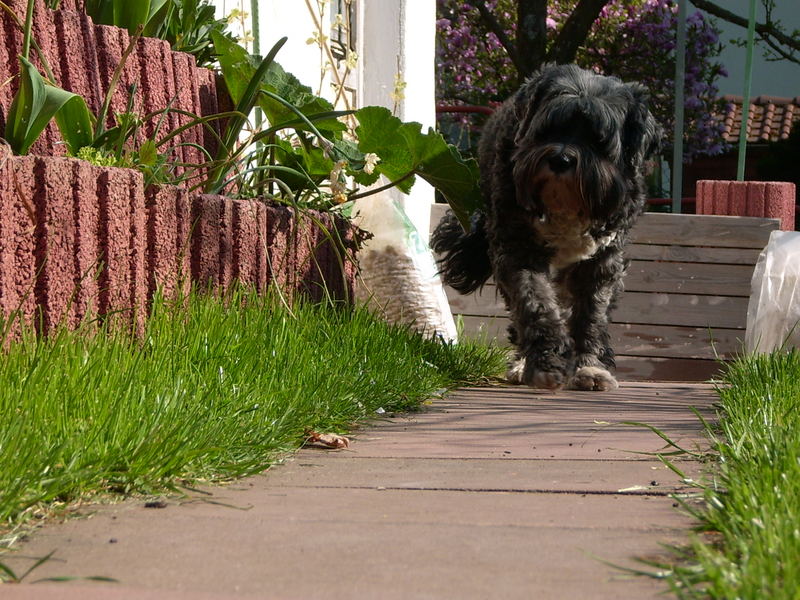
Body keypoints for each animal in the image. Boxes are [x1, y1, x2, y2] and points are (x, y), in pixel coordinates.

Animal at [434, 63, 660, 392]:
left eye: (597, 139)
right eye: (550, 127)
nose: (561, 159)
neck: (565, 205)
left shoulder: (601, 262)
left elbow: (591, 316)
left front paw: (590, 367)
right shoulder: (518, 250)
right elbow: (536, 306)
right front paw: (544, 363)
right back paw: (521, 362)